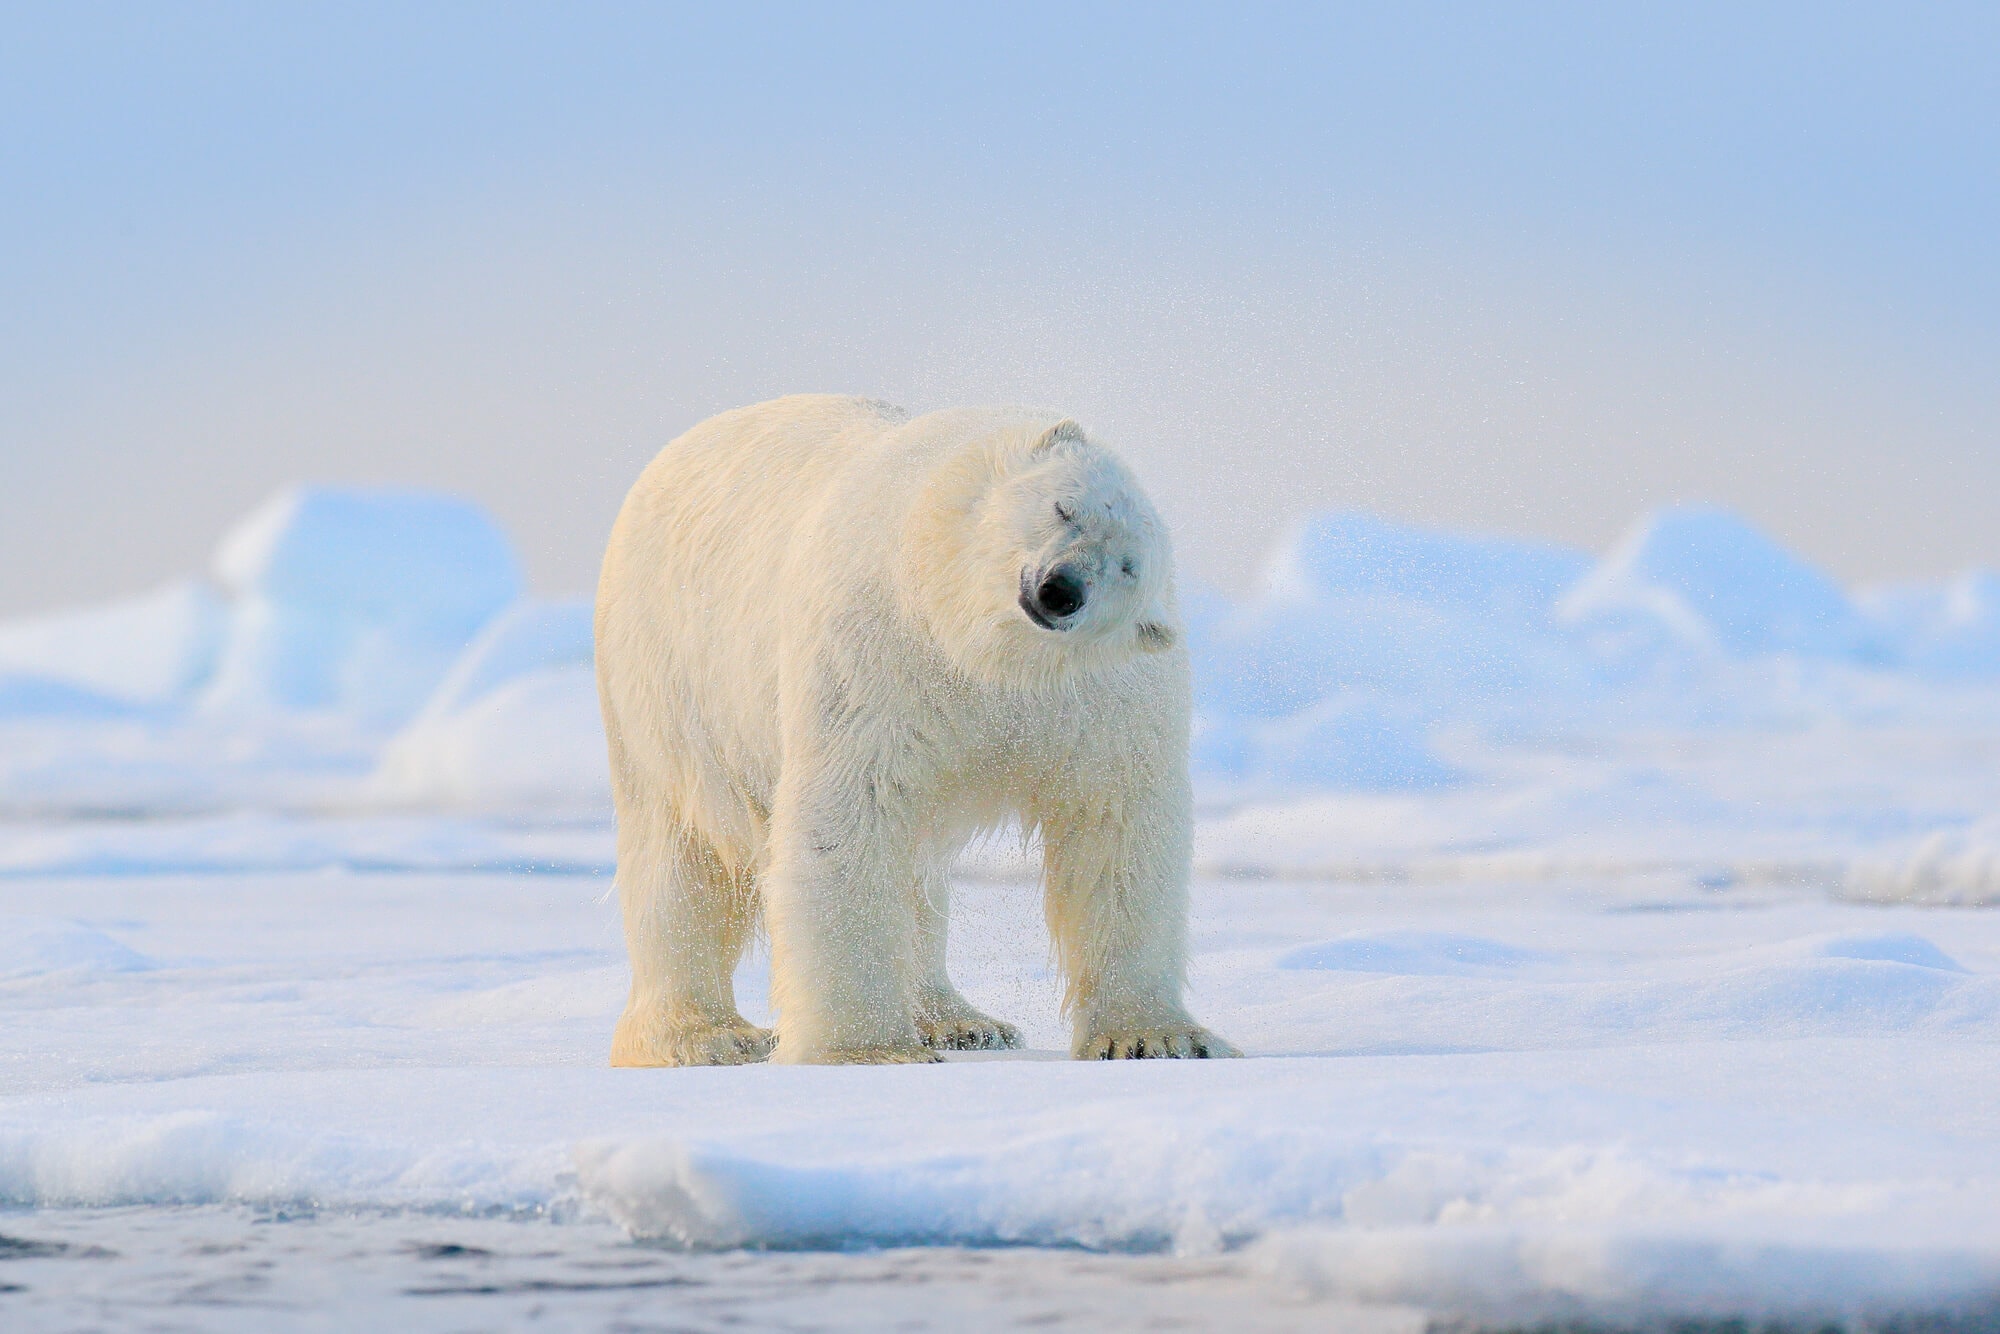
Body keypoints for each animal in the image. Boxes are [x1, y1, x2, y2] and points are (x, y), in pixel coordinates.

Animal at [592, 394, 1232, 1064]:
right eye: (1065, 506)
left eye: (1126, 569)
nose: (1060, 588)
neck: (984, 655)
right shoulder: (879, 646)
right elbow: (850, 813)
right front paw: (868, 1049)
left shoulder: (1107, 702)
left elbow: (1118, 832)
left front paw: (1156, 1036)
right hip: (669, 675)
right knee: (680, 858)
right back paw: (705, 1037)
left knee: (916, 877)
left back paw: (960, 1020)